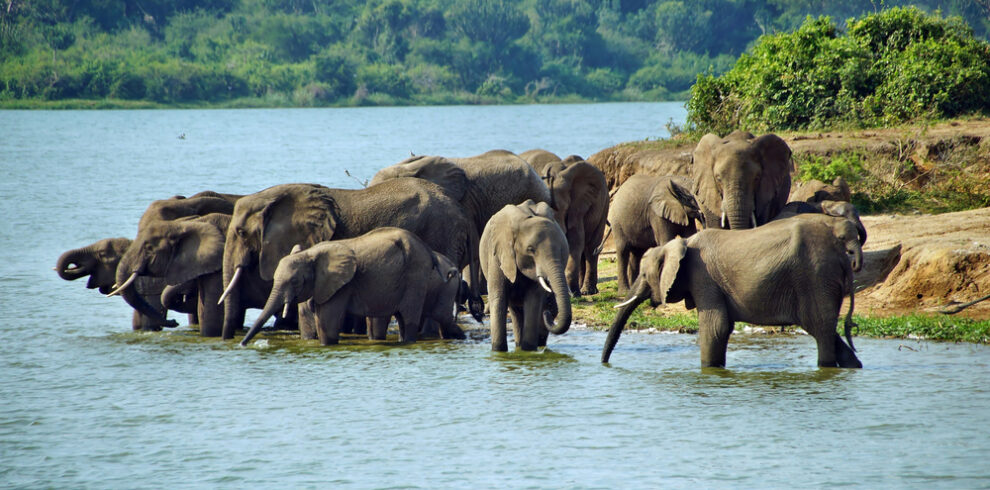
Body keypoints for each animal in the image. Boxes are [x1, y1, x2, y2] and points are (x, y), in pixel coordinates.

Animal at [241, 228, 440, 346]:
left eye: (295, 281)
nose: (242, 344)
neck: (310, 253)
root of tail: (427, 249)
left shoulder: (341, 285)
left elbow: (326, 322)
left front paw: (326, 345)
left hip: (416, 275)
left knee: (408, 317)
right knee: (400, 318)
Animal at [480, 200, 572, 352]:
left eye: (562, 249)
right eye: (530, 250)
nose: (547, 314)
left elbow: (534, 299)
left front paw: (528, 350)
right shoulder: (497, 255)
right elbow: (499, 297)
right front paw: (498, 351)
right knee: (514, 310)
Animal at [602, 213, 863, 368]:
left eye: (644, 276)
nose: (604, 364)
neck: (680, 243)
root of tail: (841, 255)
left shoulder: (704, 278)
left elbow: (715, 327)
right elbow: (721, 327)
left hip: (815, 278)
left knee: (821, 330)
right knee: (824, 329)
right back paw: (854, 366)